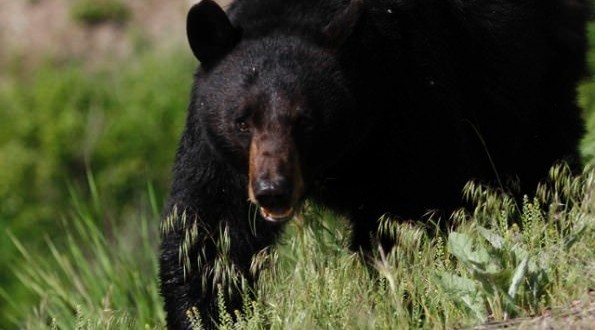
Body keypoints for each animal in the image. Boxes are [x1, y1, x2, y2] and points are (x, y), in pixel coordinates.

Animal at [159, 0, 592, 328]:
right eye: (242, 120)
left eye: (305, 120)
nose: (272, 190)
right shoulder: (218, 155)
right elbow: (209, 236)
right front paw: (209, 315)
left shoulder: (406, 94)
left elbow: (411, 210)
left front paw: (401, 295)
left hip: (530, 67)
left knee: (539, 158)